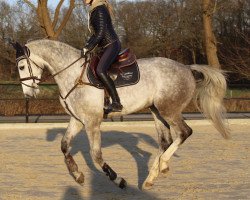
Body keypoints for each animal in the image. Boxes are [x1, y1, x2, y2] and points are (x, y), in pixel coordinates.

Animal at [12, 38, 229, 189]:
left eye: (22, 66)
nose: (28, 94)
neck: (73, 74)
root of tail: (186, 68)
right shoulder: (77, 120)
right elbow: (64, 146)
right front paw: (78, 175)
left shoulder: (92, 122)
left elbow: (96, 156)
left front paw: (118, 180)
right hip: (157, 111)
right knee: (165, 141)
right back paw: (153, 175)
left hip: (169, 111)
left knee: (184, 133)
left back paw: (160, 166)